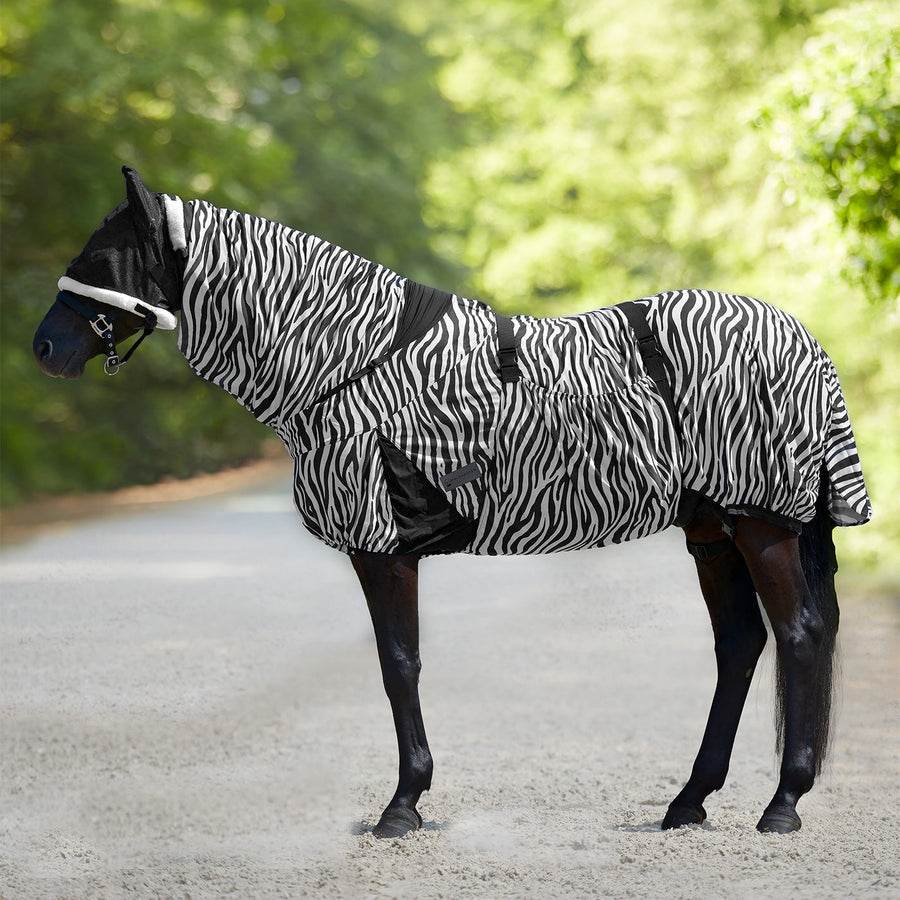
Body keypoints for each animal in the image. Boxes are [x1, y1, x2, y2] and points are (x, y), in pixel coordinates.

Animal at [34, 167, 871, 837]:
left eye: (102, 258)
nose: (44, 348)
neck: (346, 361)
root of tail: (803, 340)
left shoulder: (381, 545)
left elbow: (397, 663)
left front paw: (402, 806)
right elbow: (397, 663)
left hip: (761, 525)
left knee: (798, 636)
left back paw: (782, 805)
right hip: (712, 530)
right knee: (742, 645)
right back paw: (688, 801)